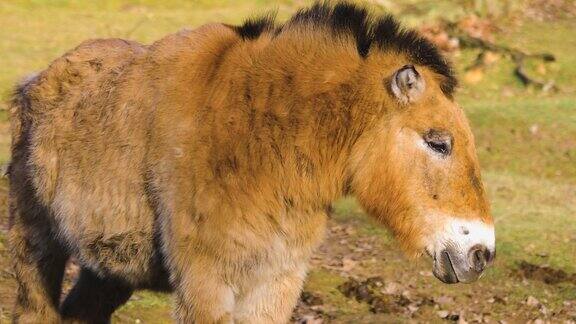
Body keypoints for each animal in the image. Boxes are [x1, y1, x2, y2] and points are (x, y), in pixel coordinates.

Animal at [7, 1, 496, 322]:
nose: (481, 253)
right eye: (438, 142)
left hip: (108, 267)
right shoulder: (205, 284)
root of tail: (37, 79)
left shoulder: (276, 281)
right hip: (34, 246)